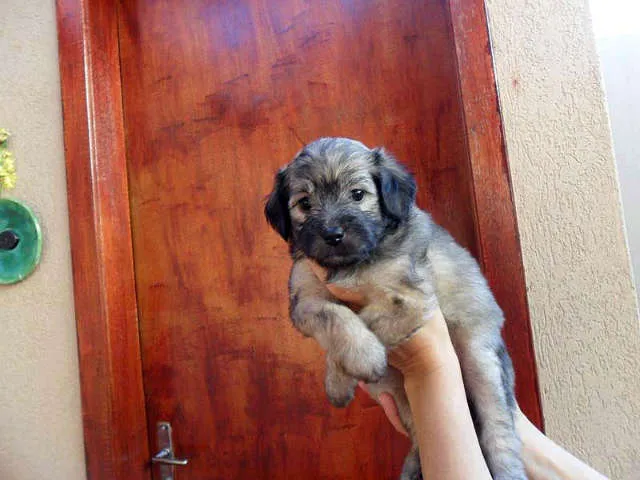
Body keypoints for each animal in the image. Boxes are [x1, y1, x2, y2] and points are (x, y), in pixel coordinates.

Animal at [264, 137, 524, 478]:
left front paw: (349, 367)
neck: (352, 264)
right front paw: (346, 372)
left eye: (357, 194)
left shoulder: (409, 298)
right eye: (305, 204)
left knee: (499, 434)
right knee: (418, 436)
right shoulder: (306, 299)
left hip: (481, 364)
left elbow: (367, 318)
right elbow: (337, 317)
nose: (333, 235)